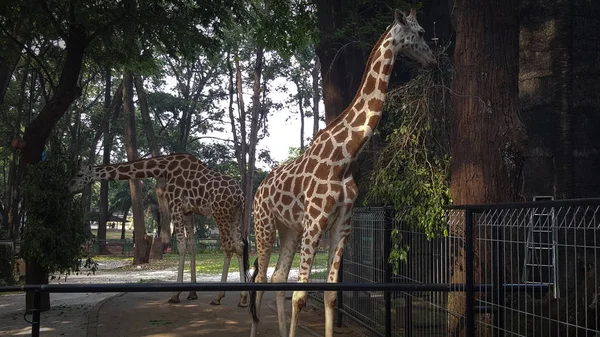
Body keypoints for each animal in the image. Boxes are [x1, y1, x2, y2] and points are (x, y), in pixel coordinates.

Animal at [67, 154, 248, 306]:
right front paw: (192, 293)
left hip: (220, 213)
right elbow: (191, 246)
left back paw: (218, 296)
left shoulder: (175, 206)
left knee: (228, 247)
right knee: (239, 246)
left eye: (80, 174)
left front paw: (175, 295)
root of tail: (240, 196)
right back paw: (243, 297)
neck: (165, 168)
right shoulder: (188, 212)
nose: (70, 186)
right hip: (236, 215)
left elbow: (181, 246)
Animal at [248, 8, 436, 336]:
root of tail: (259, 189)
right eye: (421, 32)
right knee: (259, 279)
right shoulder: (314, 223)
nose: (433, 61)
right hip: (264, 224)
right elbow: (301, 295)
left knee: (277, 276)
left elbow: (331, 295)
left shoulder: (341, 225)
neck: (343, 158)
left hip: (289, 229)